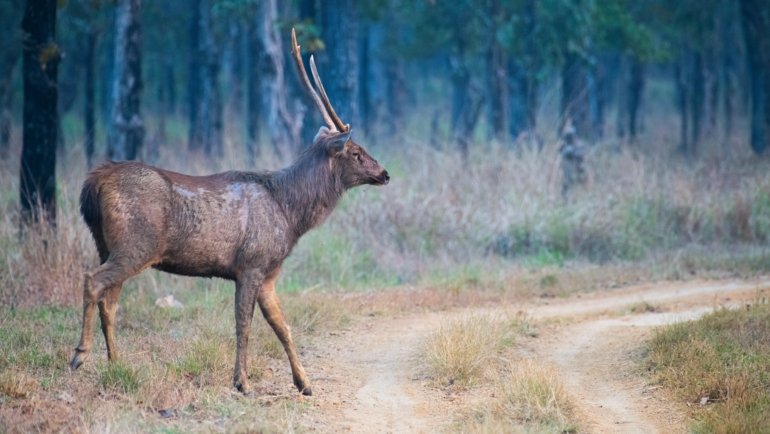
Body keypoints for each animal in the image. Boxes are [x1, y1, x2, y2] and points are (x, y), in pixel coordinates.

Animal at [69, 29, 389, 396]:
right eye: (356, 152)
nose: (385, 173)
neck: (290, 214)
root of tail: (93, 182)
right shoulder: (251, 262)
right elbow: (244, 324)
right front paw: (242, 382)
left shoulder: (269, 273)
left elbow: (283, 326)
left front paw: (304, 383)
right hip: (135, 243)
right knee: (93, 281)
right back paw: (80, 355)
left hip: (107, 243)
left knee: (109, 301)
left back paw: (116, 364)